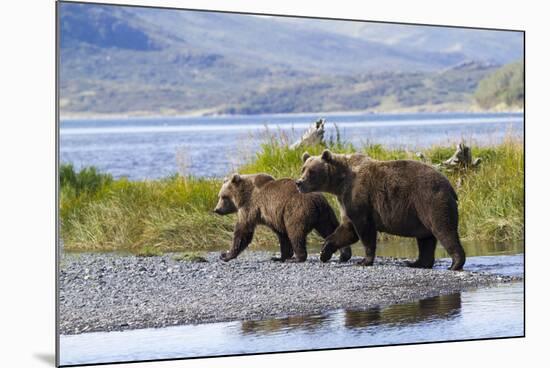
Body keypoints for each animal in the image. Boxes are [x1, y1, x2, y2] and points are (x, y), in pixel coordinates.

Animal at [216, 174, 354, 264]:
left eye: (223, 197)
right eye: (220, 196)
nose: (216, 209)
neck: (243, 196)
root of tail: (317, 200)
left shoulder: (250, 207)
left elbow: (243, 231)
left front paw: (225, 255)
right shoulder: (274, 215)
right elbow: (282, 235)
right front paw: (279, 257)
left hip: (296, 211)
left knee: (295, 233)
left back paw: (298, 258)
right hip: (325, 215)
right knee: (331, 229)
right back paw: (344, 255)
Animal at [298, 150, 466, 270]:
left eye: (311, 172)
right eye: (303, 169)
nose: (299, 182)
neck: (340, 183)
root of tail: (449, 185)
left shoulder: (359, 197)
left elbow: (364, 230)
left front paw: (364, 261)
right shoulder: (345, 201)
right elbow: (347, 230)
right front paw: (324, 252)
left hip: (430, 200)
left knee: (443, 230)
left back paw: (455, 264)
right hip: (421, 212)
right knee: (425, 239)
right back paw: (417, 263)